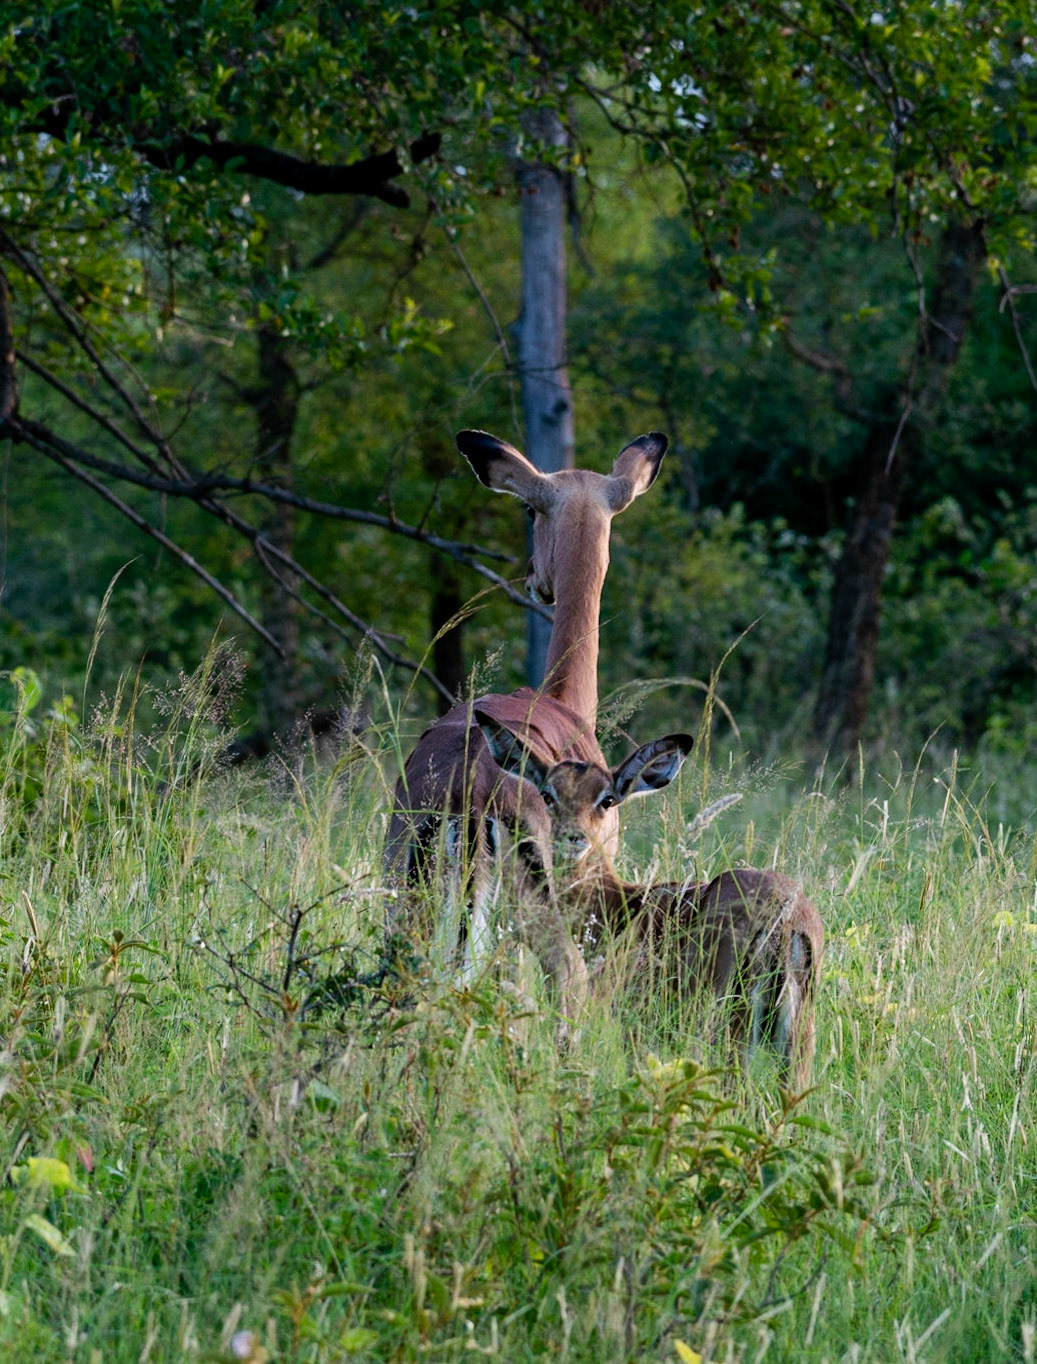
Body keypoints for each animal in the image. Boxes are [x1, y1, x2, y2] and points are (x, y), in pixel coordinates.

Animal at [478, 717, 824, 1089]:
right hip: (796, 1034)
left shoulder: (635, 1022)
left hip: (726, 1022)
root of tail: (786, 917)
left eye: (607, 799)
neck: (617, 905)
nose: (573, 837)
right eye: (548, 793)